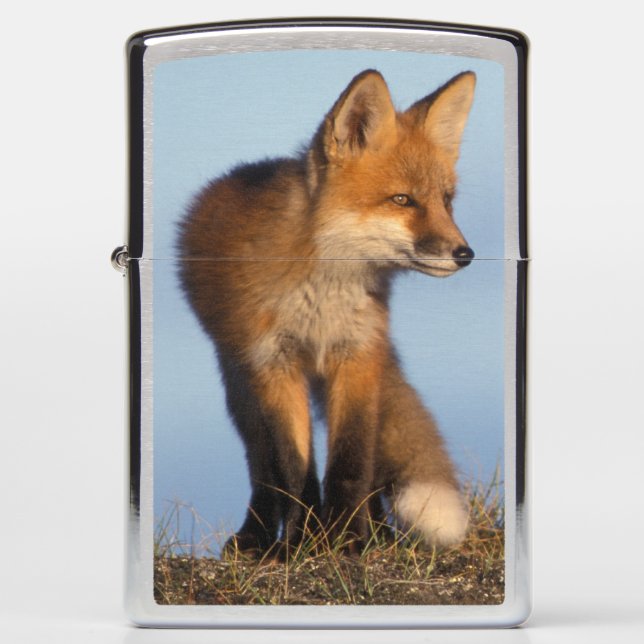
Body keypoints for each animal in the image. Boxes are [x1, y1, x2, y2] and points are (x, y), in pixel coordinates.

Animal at [178, 69, 477, 554]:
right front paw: (303, 544)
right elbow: (294, 468)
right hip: (239, 383)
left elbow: (351, 462)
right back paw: (260, 537)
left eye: (446, 201)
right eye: (402, 200)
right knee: (263, 468)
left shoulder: (357, 354)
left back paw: (376, 533)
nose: (465, 254)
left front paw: (349, 539)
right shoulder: (274, 363)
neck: (322, 295)